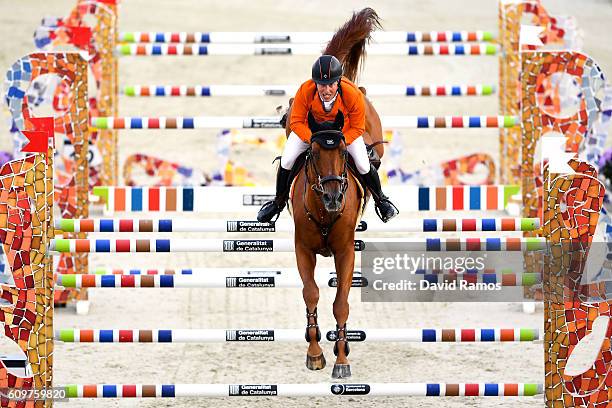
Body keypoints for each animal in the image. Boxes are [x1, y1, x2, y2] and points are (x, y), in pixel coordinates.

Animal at [284, 7, 382, 380]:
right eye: (312, 153)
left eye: (341, 152)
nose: (333, 199)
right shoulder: (302, 249)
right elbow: (311, 294)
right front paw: (315, 354)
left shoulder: (344, 251)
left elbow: (341, 302)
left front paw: (342, 359)